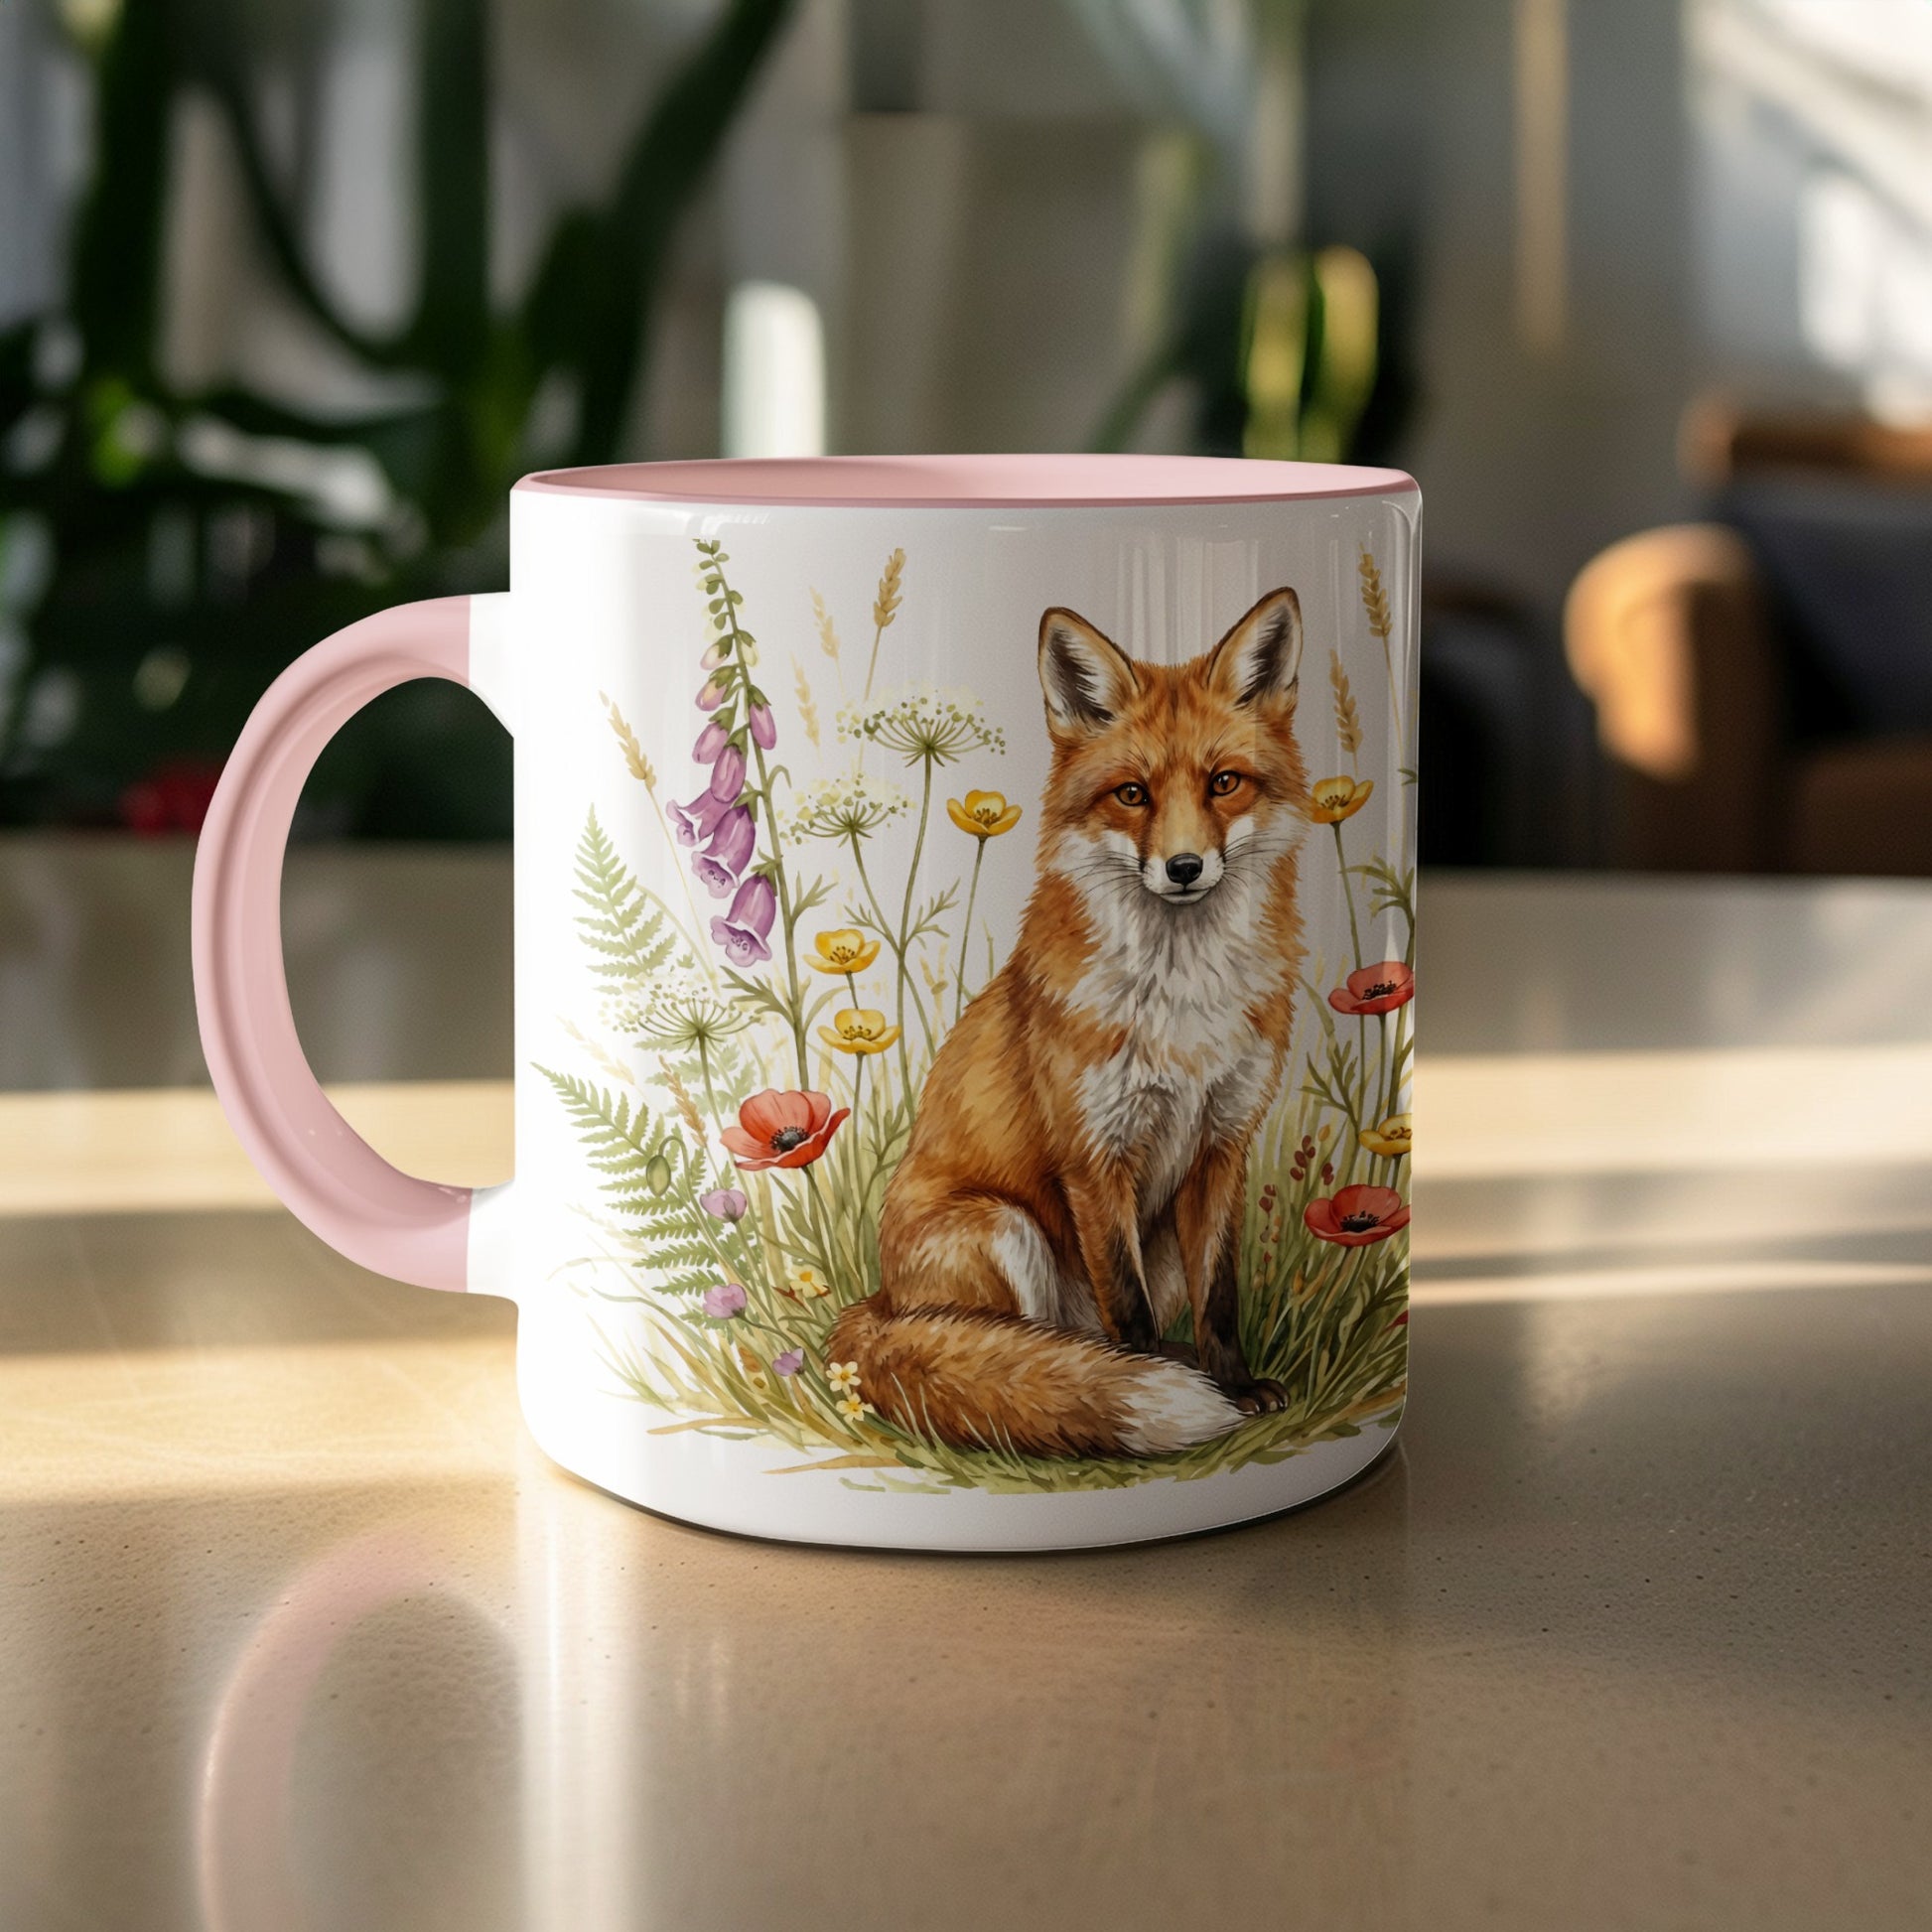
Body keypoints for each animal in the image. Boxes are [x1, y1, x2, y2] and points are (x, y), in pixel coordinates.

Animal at [828, 586, 1312, 1458]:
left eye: (1224, 782)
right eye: (1133, 794)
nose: (1184, 868)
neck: (1182, 1002)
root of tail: (878, 1303)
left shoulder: (1222, 1145)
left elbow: (1220, 1296)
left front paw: (1233, 1385)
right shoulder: (1094, 1155)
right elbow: (1128, 1308)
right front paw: (1151, 1389)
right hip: (1003, 1227)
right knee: (1018, 1350)